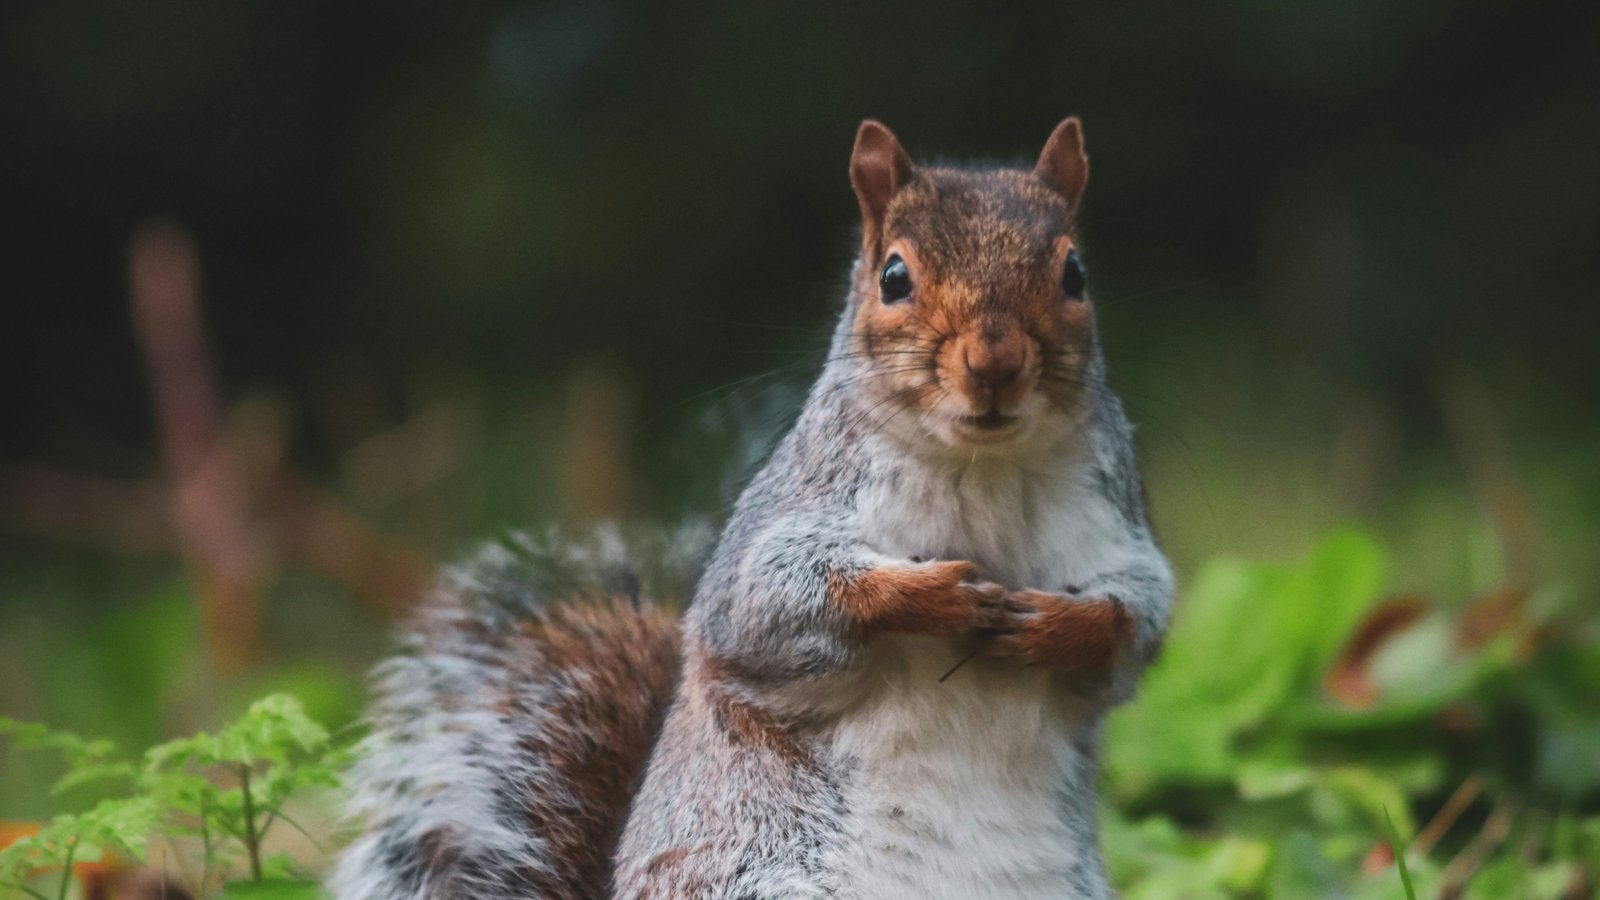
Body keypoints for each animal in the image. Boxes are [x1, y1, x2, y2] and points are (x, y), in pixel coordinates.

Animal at [328, 119, 1177, 896]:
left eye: (1076, 274)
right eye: (893, 276)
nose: (994, 362)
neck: (982, 463)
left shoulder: (1115, 524)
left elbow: (1138, 621)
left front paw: (1060, 625)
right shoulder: (791, 513)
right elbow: (760, 608)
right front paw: (931, 595)